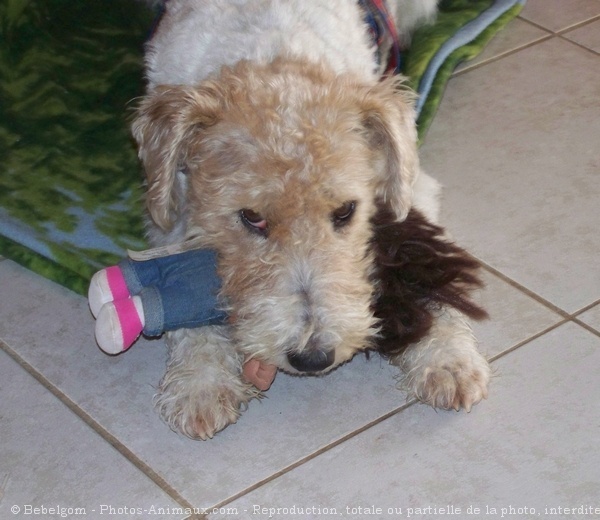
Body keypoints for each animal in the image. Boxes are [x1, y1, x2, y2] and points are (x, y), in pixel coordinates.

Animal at [129, 0, 490, 438]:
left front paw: (448, 360)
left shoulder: (412, 185)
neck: (272, 51)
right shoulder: (168, 210)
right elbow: (181, 290)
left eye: (346, 210)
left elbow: (431, 270)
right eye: (252, 217)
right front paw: (200, 385)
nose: (313, 357)